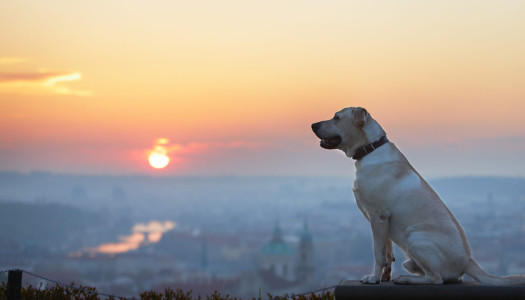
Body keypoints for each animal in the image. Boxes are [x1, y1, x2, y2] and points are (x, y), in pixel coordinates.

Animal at [312, 106, 524, 284]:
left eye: (337, 117)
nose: (313, 125)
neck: (370, 149)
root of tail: (468, 261)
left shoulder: (378, 217)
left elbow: (378, 254)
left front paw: (373, 278)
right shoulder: (384, 222)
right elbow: (387, 254)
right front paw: (384, 277)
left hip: (414, 237)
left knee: (436, 279)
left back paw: (406, 279)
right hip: (410, 256)